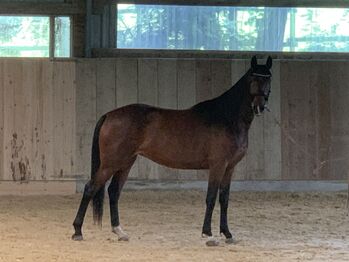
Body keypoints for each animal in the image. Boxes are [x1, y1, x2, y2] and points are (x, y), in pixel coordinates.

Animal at [71, 55, 272, 246]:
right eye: (253, 78)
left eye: (268, 79)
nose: (259, 106)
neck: (226, 117)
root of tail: (109, 115)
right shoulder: (217, 165)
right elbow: (211, 198)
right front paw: (208, 235)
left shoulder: (229, 167)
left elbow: (224, 199)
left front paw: (227, 234)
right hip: (110, 164)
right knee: (90, 188)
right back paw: (77, 231)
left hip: (126, 162)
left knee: (113, 191)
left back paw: (120, 232)